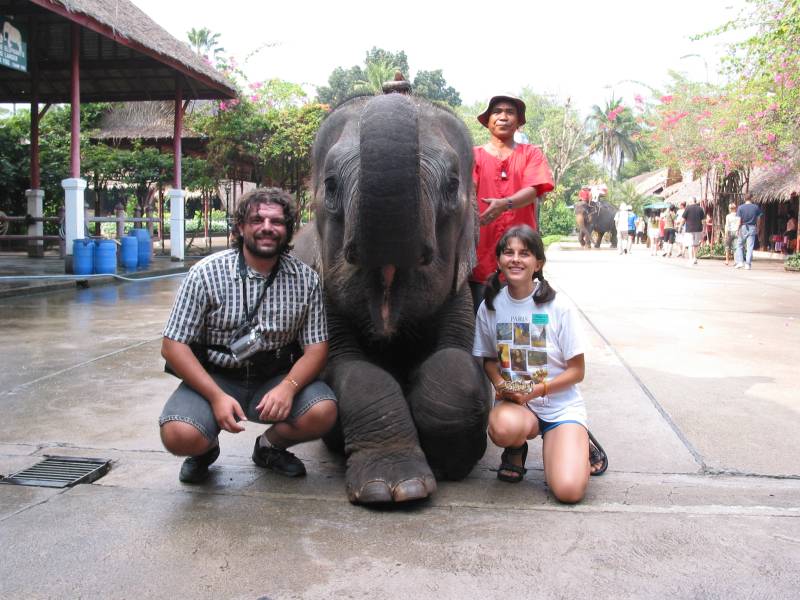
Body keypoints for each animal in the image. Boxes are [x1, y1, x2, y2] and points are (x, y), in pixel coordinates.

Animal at [293, 92, 490, 505]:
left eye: (452, 186)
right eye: (330, 186)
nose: (396, 84)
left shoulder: (460, 297)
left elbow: (455, 364)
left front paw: (450, 464)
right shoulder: (321, 297)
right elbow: (352, 372)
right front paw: (393, 489)